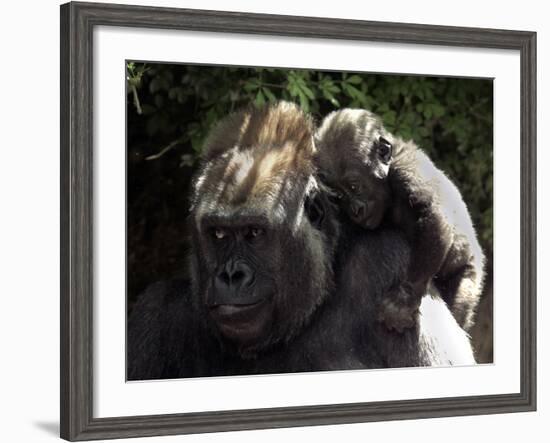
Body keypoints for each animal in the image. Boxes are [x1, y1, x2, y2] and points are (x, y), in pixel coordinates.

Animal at [316, 109, 486, 332]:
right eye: (338, 195)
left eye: (354, 186)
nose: (355, 211)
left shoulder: (406, 170)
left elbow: (432, 216)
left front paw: (403, 299)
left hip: (470, 273)